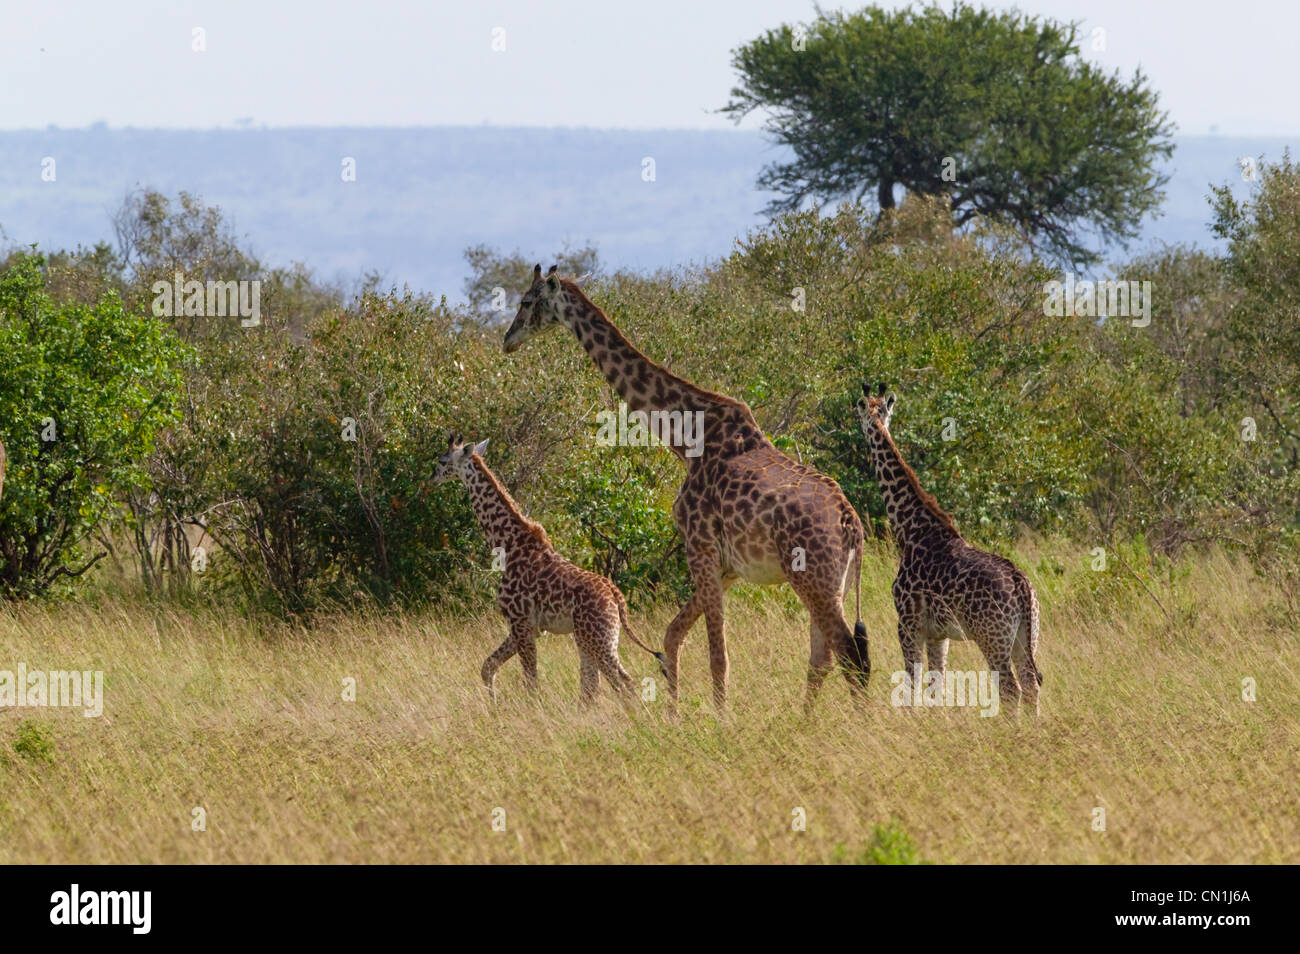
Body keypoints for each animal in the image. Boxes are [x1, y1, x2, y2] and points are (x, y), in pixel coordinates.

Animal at [433, 433, 664, 703]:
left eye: (442, 460)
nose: (431, 477)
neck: (508, 545)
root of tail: (616, 595)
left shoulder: (521, 621)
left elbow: (531, 682)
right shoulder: (528, 627)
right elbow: (487, 667)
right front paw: (493, 702)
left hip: (598, 638)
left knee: (623, 682)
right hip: (590, 638)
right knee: (592, 687)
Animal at [503, 265, 870, 711]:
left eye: (526, 301)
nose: (507, 340)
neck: (687, 438)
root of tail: (851, 524)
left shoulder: (700, 548)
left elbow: (717, 656)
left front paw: (719, 718)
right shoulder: (727, 567)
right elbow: (671, 635)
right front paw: (675, 712)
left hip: (812, 578)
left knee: (848, 654)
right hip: (835, 582)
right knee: (824, 657)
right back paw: (807, 722)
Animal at [853, 383, 1042, 714]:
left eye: (861, 409)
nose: (864, 426)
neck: (910, 528)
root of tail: (1022, 586)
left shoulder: (908, 623)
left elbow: (912, 684)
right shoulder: (938, 633)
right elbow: (936, 686)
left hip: (992, 637)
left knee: (1011, 689)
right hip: (1026, 636)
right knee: (1031, 685)